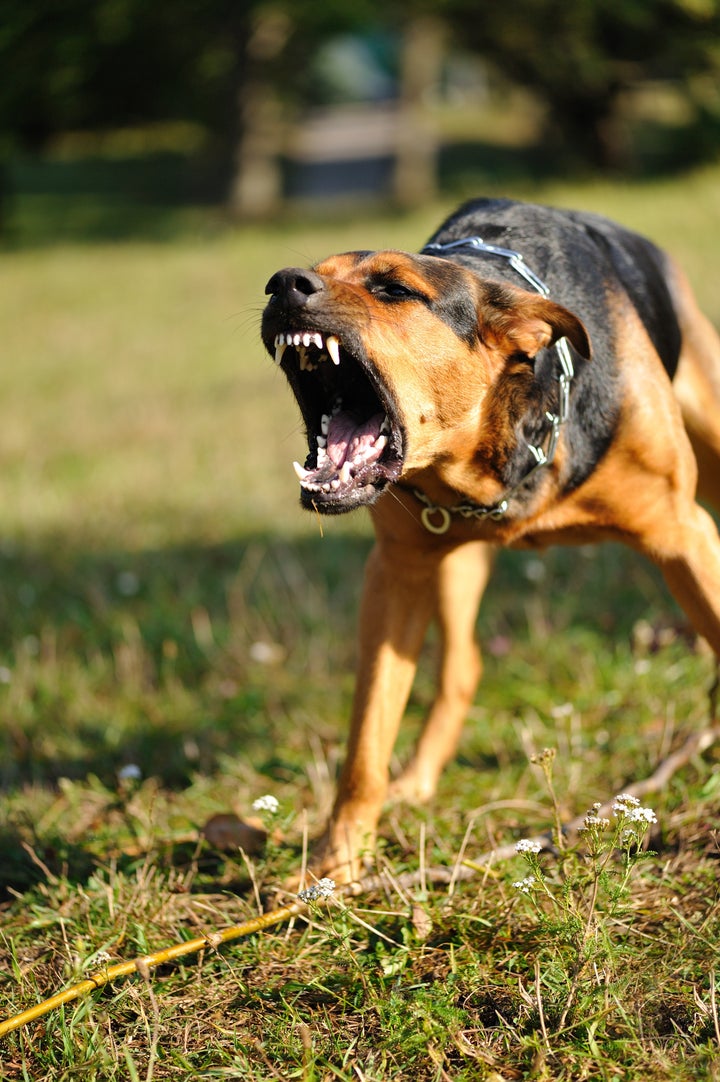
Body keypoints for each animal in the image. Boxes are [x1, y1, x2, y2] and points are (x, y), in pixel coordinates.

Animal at [259, 199, 718, 882]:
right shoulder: (396, 571)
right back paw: (417, 784)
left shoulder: (684, 534)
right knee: (461, 668)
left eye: (394, 290)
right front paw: (334, 870)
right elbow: (366, 743)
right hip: (449, 567)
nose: (283, 283)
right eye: (313, 271)